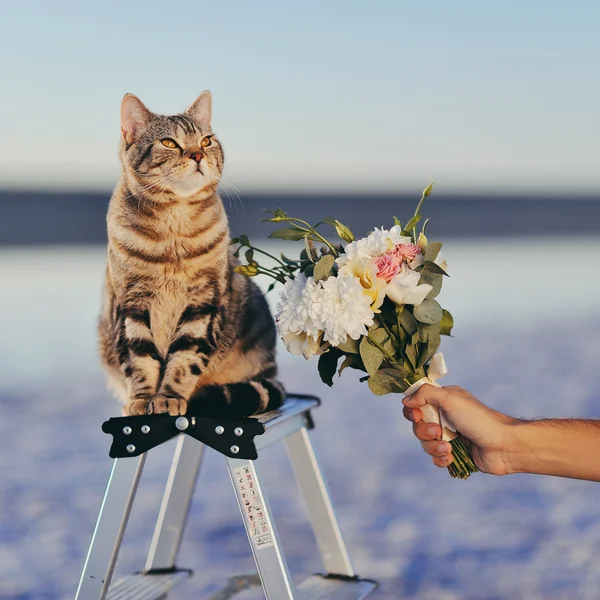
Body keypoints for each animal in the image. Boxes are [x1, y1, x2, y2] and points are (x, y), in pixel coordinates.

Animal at [98, 91, 284, 420]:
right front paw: (142, 399)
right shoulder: (131, 301)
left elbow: (185, 359)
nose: (197, 155)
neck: (174, 227)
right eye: (169, 143)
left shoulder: (203, 302)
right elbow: (139, 358)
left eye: (206, 141)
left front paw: (169, 397)